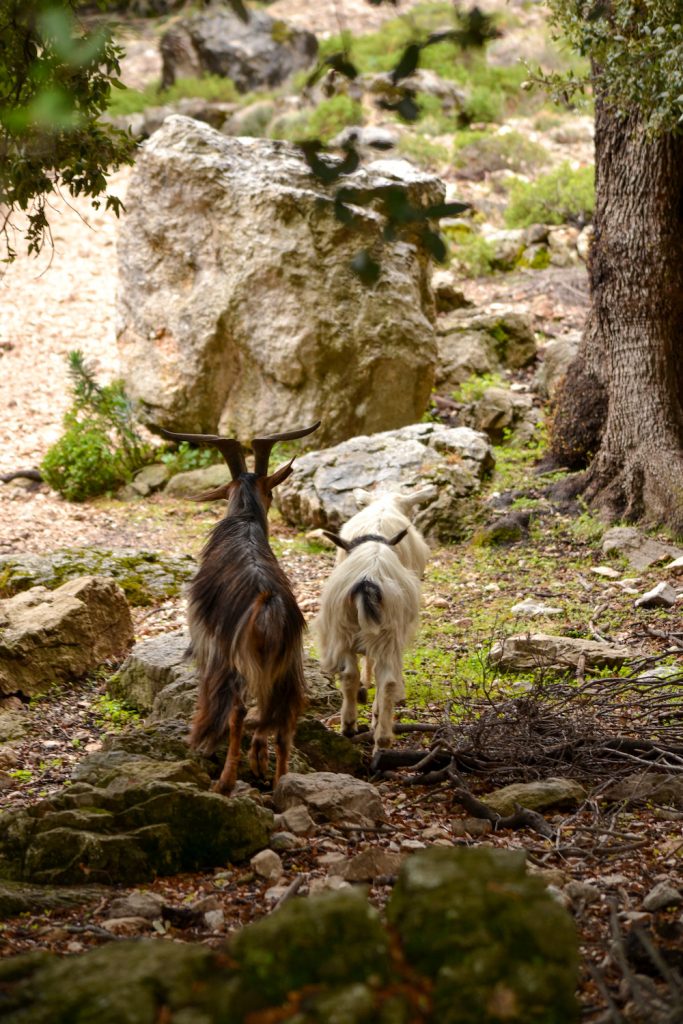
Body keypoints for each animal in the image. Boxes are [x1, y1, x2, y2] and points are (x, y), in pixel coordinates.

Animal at [160, 419, 321, 794]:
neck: (244, 520)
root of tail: (268, 611)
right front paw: (258, 760)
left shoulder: (209, 643)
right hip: (288, 668)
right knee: (284, 720)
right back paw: (279, 783)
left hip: (233, 662)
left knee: (237, 711)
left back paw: (224, 781)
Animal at [315, 528, 421, 753]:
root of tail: (368, 581)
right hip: (385, 635)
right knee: (386, 681)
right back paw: (380, 742)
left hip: (345, 631)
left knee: (352, 676)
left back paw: (351, 727)